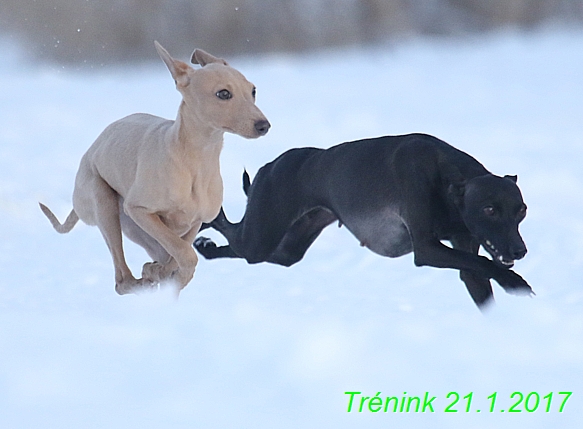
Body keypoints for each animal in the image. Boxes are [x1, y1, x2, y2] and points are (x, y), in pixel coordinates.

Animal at [40, 41, 272, 294]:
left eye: (253, 90)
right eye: (223, 93)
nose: (264, 125)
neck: (195, 160)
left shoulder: (194, 221)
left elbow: (178, 256)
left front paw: (162, 273)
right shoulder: (139, 210)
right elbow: (186, 255)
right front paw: (163, 274)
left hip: (136, 229)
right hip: (104, 203)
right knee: (122, 281)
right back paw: (140, 281)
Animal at [196, 132, 532, 306]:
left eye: (521, 210)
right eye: (489, 209)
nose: (519, 251)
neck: (447, 178)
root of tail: (270, 166)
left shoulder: (465, 252)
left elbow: (477, 268)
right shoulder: (426, 249)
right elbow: (483, 262)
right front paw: (515, 282)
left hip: (288, 248)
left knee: (244, 250)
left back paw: (207, 248)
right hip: (261, 236)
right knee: (232, 232)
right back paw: (203, 226)